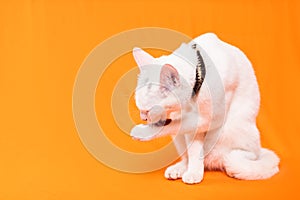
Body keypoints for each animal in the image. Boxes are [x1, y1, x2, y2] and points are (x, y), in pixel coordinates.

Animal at [130, 32, 280, 184]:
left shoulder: (208, 119)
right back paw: (180, 168)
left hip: (233, 134)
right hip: (180, 137)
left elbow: (188, 142)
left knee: (243, 158)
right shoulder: (189, 123)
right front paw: (193, 171)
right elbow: (189, 145)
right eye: (140, 109)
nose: (143, 118)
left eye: (148, 110)